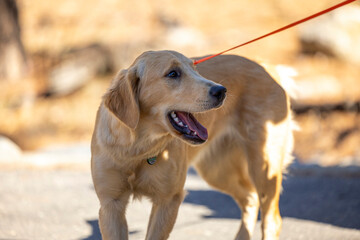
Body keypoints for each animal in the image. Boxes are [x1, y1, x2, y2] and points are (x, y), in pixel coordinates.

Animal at [90, 49, 292, 239]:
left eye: (195, 69)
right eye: (173, 73)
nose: (222, 90)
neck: (137, 148)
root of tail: (266, 66)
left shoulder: (168, 199)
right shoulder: (111, 205)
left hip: (264, 166)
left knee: (272, 219)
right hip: (217, 171)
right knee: (250, 198)